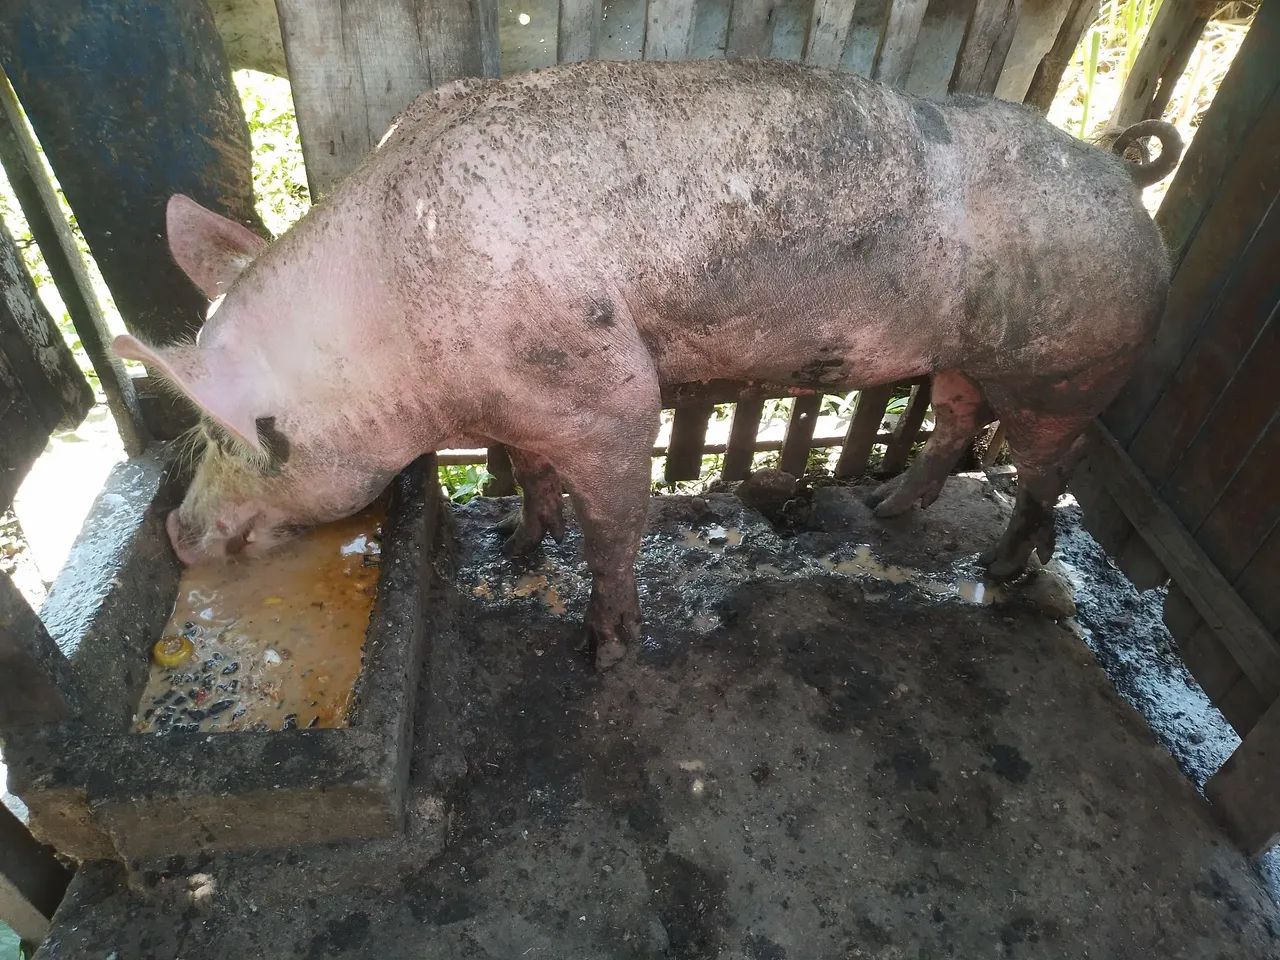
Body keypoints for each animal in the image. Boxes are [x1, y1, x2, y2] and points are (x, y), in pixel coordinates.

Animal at [114, 59, 1182, 669]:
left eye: (228, 438)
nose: (176, 530)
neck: (396, 334)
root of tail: (1121, 174)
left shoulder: (605, 392)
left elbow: (615, 529)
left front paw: (605, 652)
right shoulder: (521, 407)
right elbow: (532, 475)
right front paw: (517, 546)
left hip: (1067, 367)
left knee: (1043, 471)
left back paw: (997, 573)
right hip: (967, 355)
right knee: (958, 417)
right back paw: (885, 511)